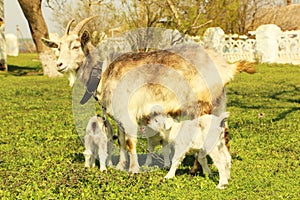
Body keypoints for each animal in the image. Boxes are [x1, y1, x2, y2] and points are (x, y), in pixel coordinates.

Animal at [41, 16, 254, 173]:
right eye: (58, 47)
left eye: (76, 46)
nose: (59, 64)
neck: (104, 70)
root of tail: (224, 65)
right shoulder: (118, 115)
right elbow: (121, 139)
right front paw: (120, 166)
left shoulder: (128, 111)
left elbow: (129, 141)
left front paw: (134, 169)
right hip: (219, 102)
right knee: (223, 130)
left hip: (200, 104)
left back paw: (196, 169)